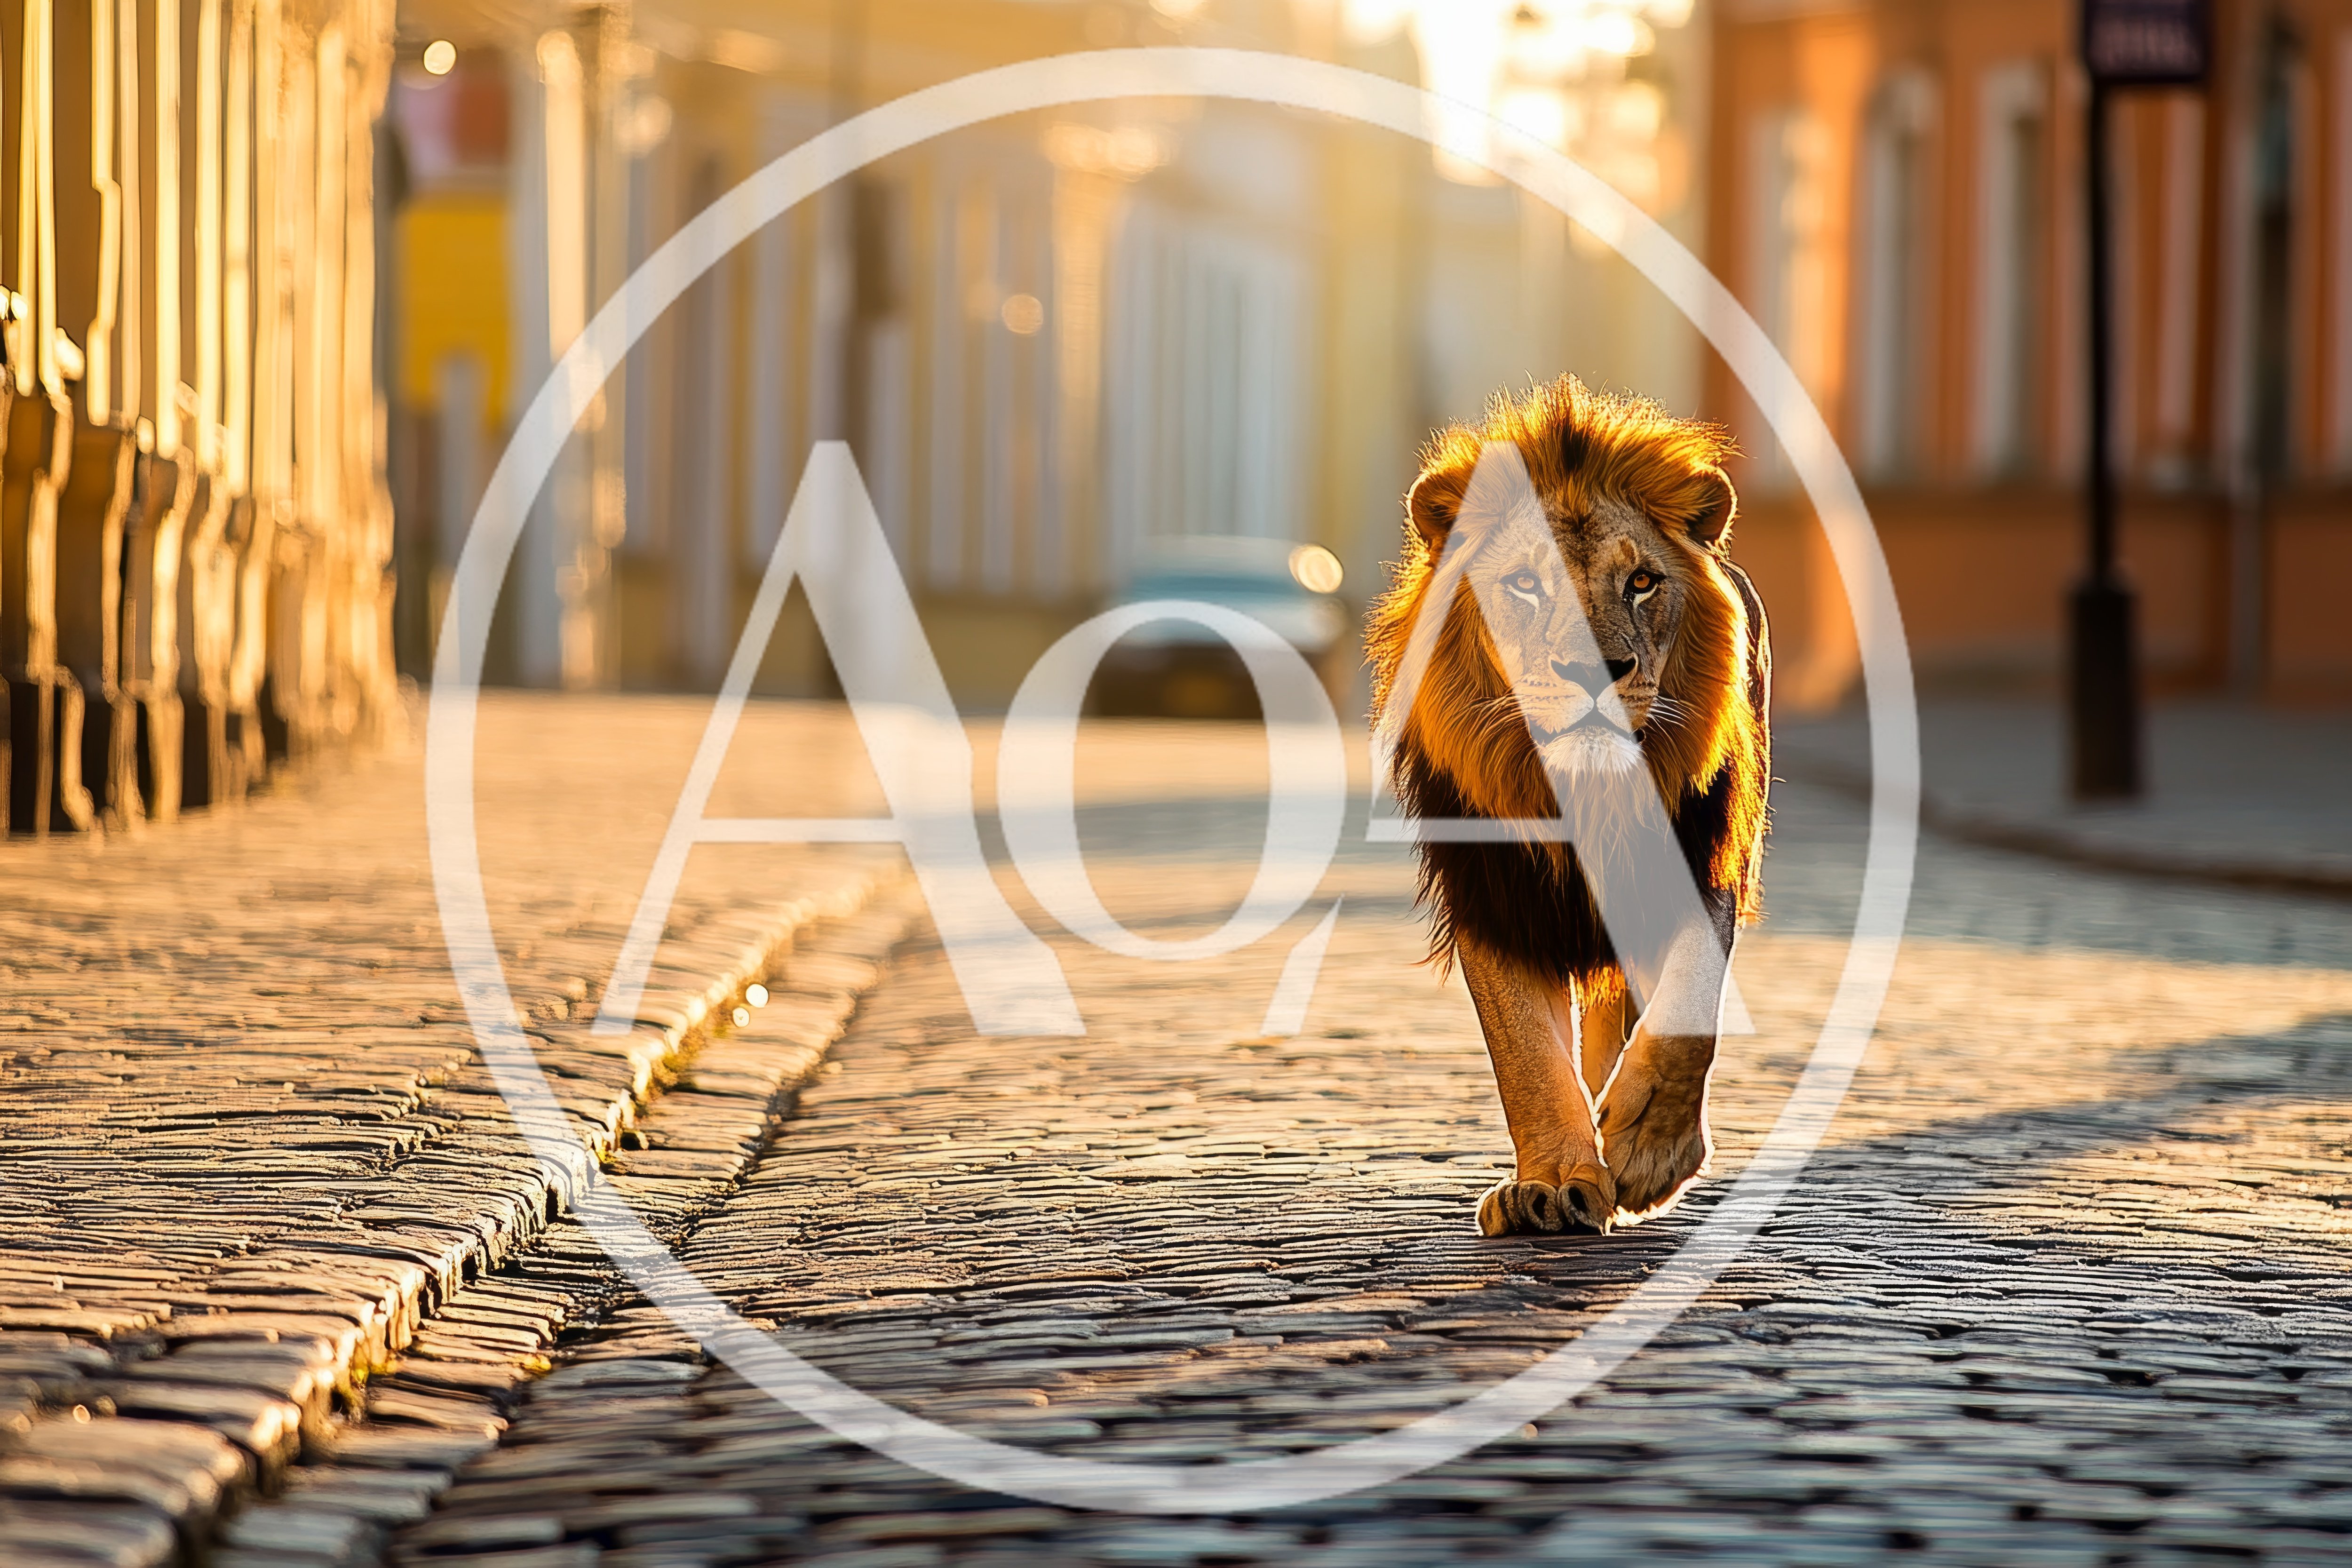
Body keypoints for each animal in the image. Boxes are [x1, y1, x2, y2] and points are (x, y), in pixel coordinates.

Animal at [1365, 376, 1770, 1236]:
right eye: (1525, 583)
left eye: (1642, 582)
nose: (1594, 671)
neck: (1586, 795)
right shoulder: (1497, 898)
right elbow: (1525, 1052)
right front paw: (1552, 1182)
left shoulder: (1700, 866)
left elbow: (1687, 1008)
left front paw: (1648, 1150)